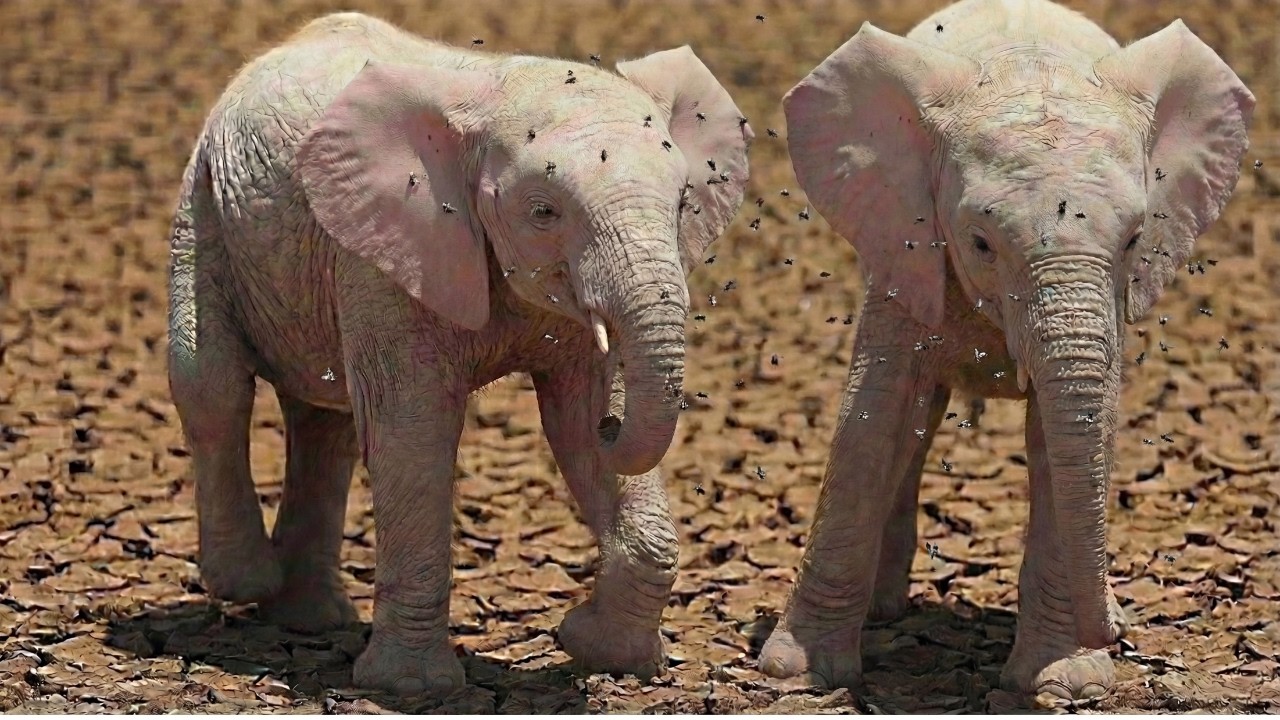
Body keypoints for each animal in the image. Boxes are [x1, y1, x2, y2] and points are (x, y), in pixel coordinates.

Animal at [165, 12, 751, 695]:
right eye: (543, 211)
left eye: (684, 203)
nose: (616, 425)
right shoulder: (388, 249)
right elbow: (414, 428)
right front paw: (411, 690)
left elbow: (574, 422)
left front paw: (600, 652)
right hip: (203, 199)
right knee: (212, 384)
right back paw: (249, 580)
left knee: (325, 418)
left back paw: (311, 620)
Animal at [758, 0, 1252, 701]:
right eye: (981, 242)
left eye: (1135, 239)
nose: (1116, 635)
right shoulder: (904, 240)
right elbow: (873, 413)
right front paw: (796, 674)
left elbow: (1073, 428)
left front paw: (1066, 680)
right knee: (915, 423)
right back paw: (885, 611)